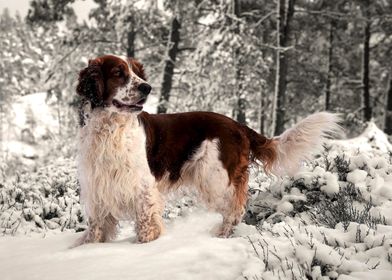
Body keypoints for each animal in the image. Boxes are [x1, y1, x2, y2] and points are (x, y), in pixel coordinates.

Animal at [74, 54, 340, 245]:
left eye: (138, 74)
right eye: (119, 73)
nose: (146, 88)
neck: (110, 129)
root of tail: (238, 125)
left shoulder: (142, 188)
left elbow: (147, 226)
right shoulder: (97, 189)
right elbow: (96, 228)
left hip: (214, 180)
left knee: (235, 209)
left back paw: (221, 236)